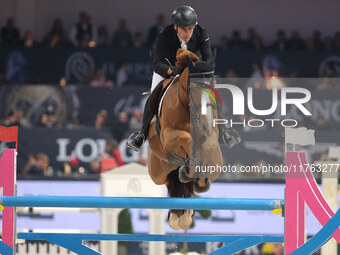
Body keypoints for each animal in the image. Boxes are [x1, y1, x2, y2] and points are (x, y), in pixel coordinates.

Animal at [147, 49, 223, 231]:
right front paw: (191, 166)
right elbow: (186, 137)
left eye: (214, 84)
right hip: (157, 171)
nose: (206, 122)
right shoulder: (167, 137)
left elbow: (208, 144)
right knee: (169, 181)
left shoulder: (211, 136)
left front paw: (200, 177)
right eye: (192, 88)